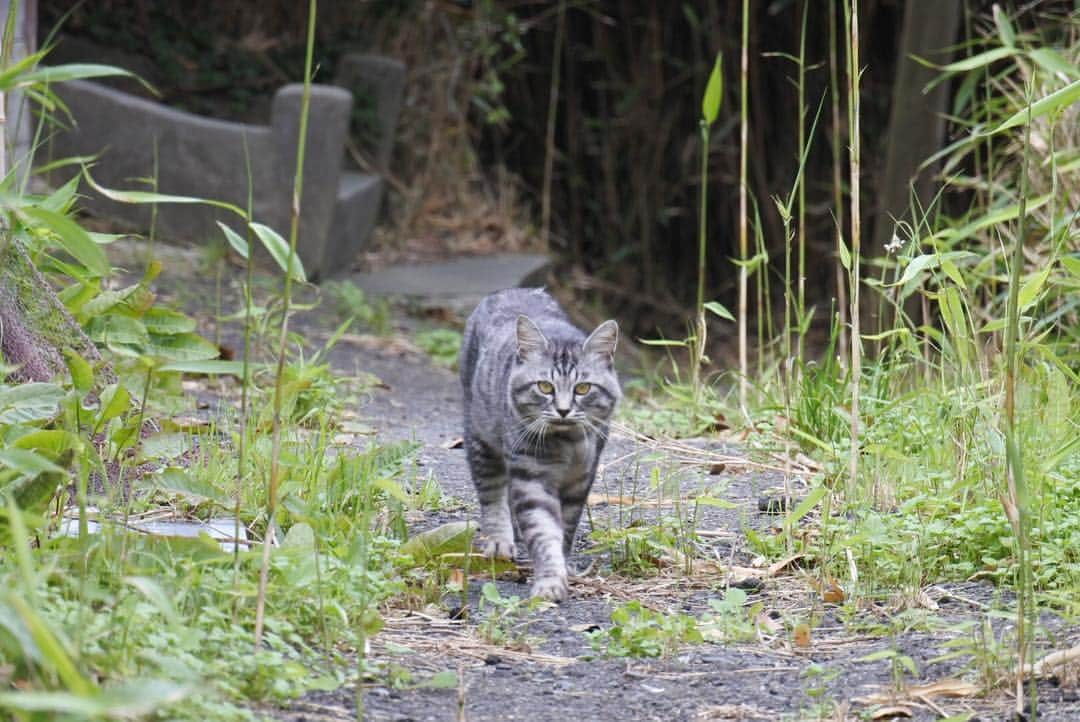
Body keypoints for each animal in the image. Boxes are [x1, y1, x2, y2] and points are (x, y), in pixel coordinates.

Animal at [457, 284, 626, 600]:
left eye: (583, 388)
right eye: (545, 387)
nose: (563, 410)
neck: (567, 443)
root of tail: (512, 289)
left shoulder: (580, 482)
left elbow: (566, 529)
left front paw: (564, 564)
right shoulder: (531, 476)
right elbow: (544, 530)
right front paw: (550, 580)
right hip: (480, 437)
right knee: (492, 494)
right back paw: (500, 541)